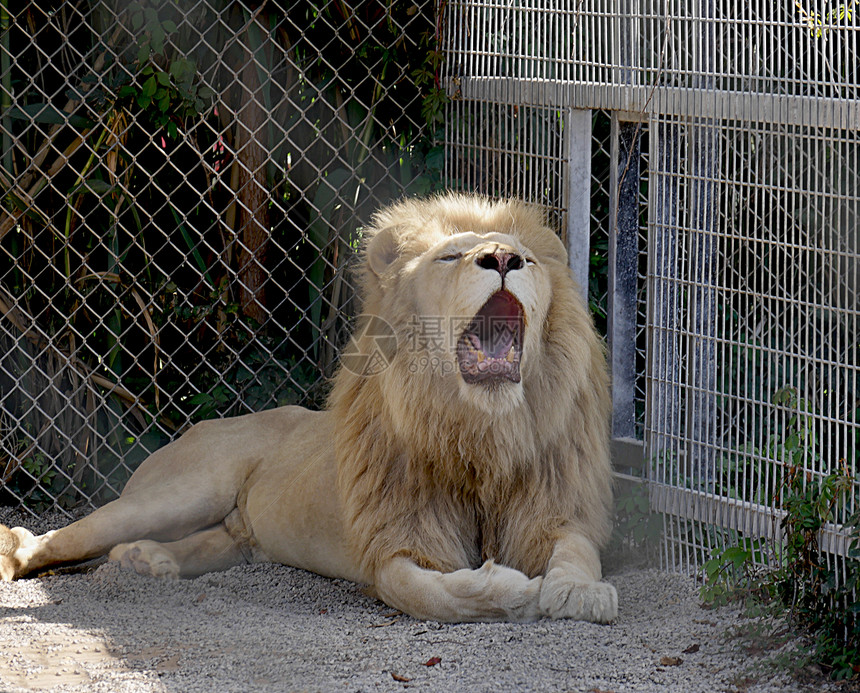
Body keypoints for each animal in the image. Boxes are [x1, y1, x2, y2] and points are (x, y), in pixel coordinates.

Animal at [0, 193, 620, 620]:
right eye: (450, 256)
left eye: (528, 261)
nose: (503, 258)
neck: (480, 429)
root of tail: (198, 426)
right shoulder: (390, 540)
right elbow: (427, 593)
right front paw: (512, 591)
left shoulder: (554, 508)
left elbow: (577, 550)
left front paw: (579, 591)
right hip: (184, 490)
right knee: (53, 539)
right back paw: (22, 557)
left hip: (232, 533)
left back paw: (146, 561)